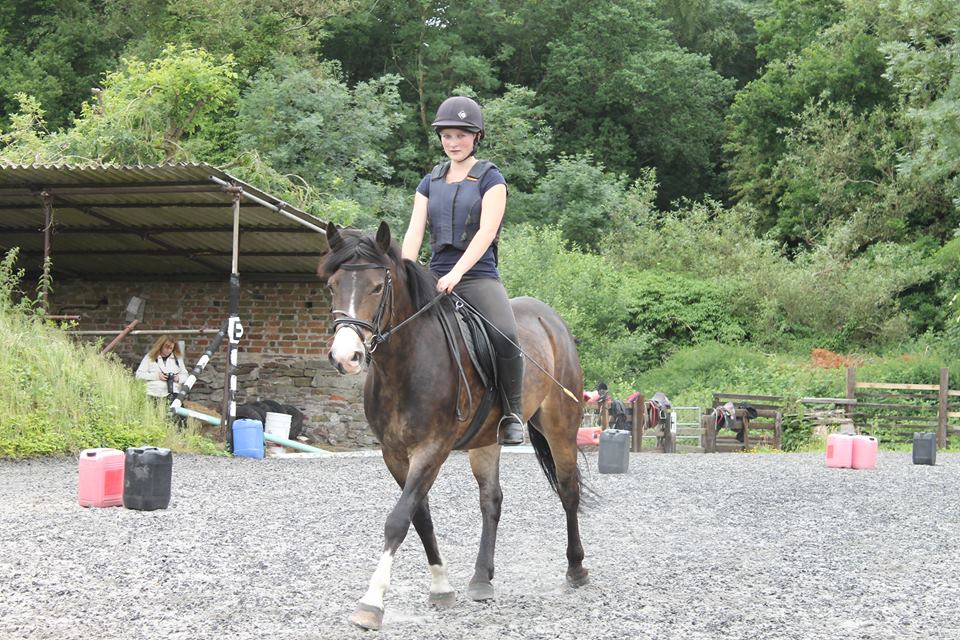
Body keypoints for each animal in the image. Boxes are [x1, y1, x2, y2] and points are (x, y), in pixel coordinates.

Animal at [318, 221, 589, 630]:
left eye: (377, 287)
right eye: (333, 285)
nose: (345, 357)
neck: (406, 363)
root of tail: (551, 319)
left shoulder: (433, 448)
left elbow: (398, 519)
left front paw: (372, 602)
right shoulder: (394, 454)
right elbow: (421, 518)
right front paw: (442, 587)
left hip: (560, 427)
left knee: (568, 490)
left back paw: (576, 569)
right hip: (486, 440)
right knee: (491, 500)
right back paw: (481, 579)